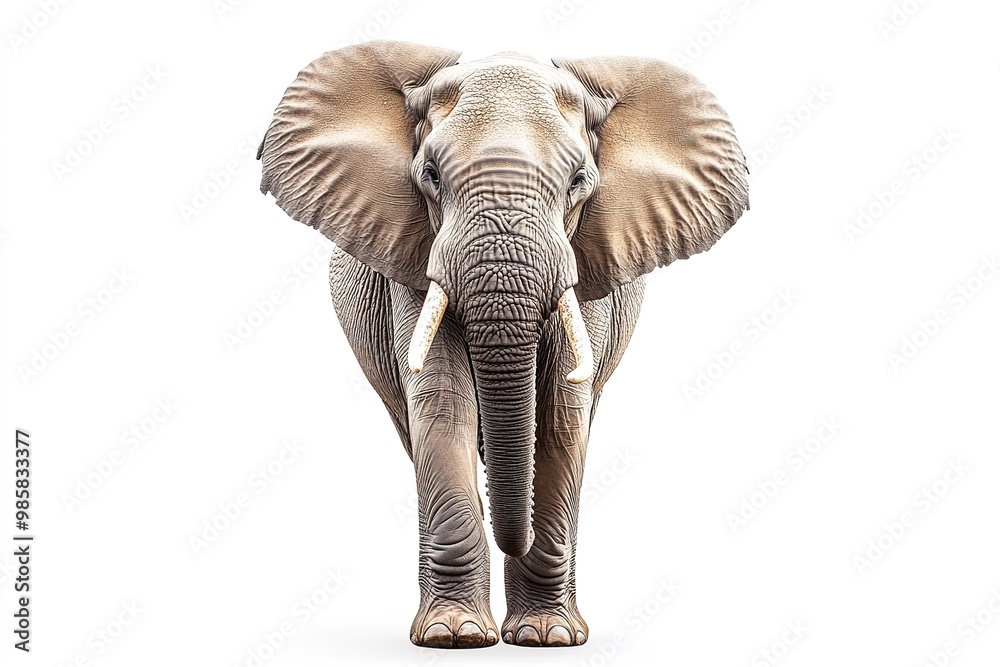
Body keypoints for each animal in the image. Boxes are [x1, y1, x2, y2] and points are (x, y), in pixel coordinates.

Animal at [257, 40, 748, 649]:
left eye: (579, 180)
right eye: (430, 175)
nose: (510, 533)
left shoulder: (588, 262)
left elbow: (562, 411)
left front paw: (547, 638)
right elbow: (441, 400)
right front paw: (456, 636)